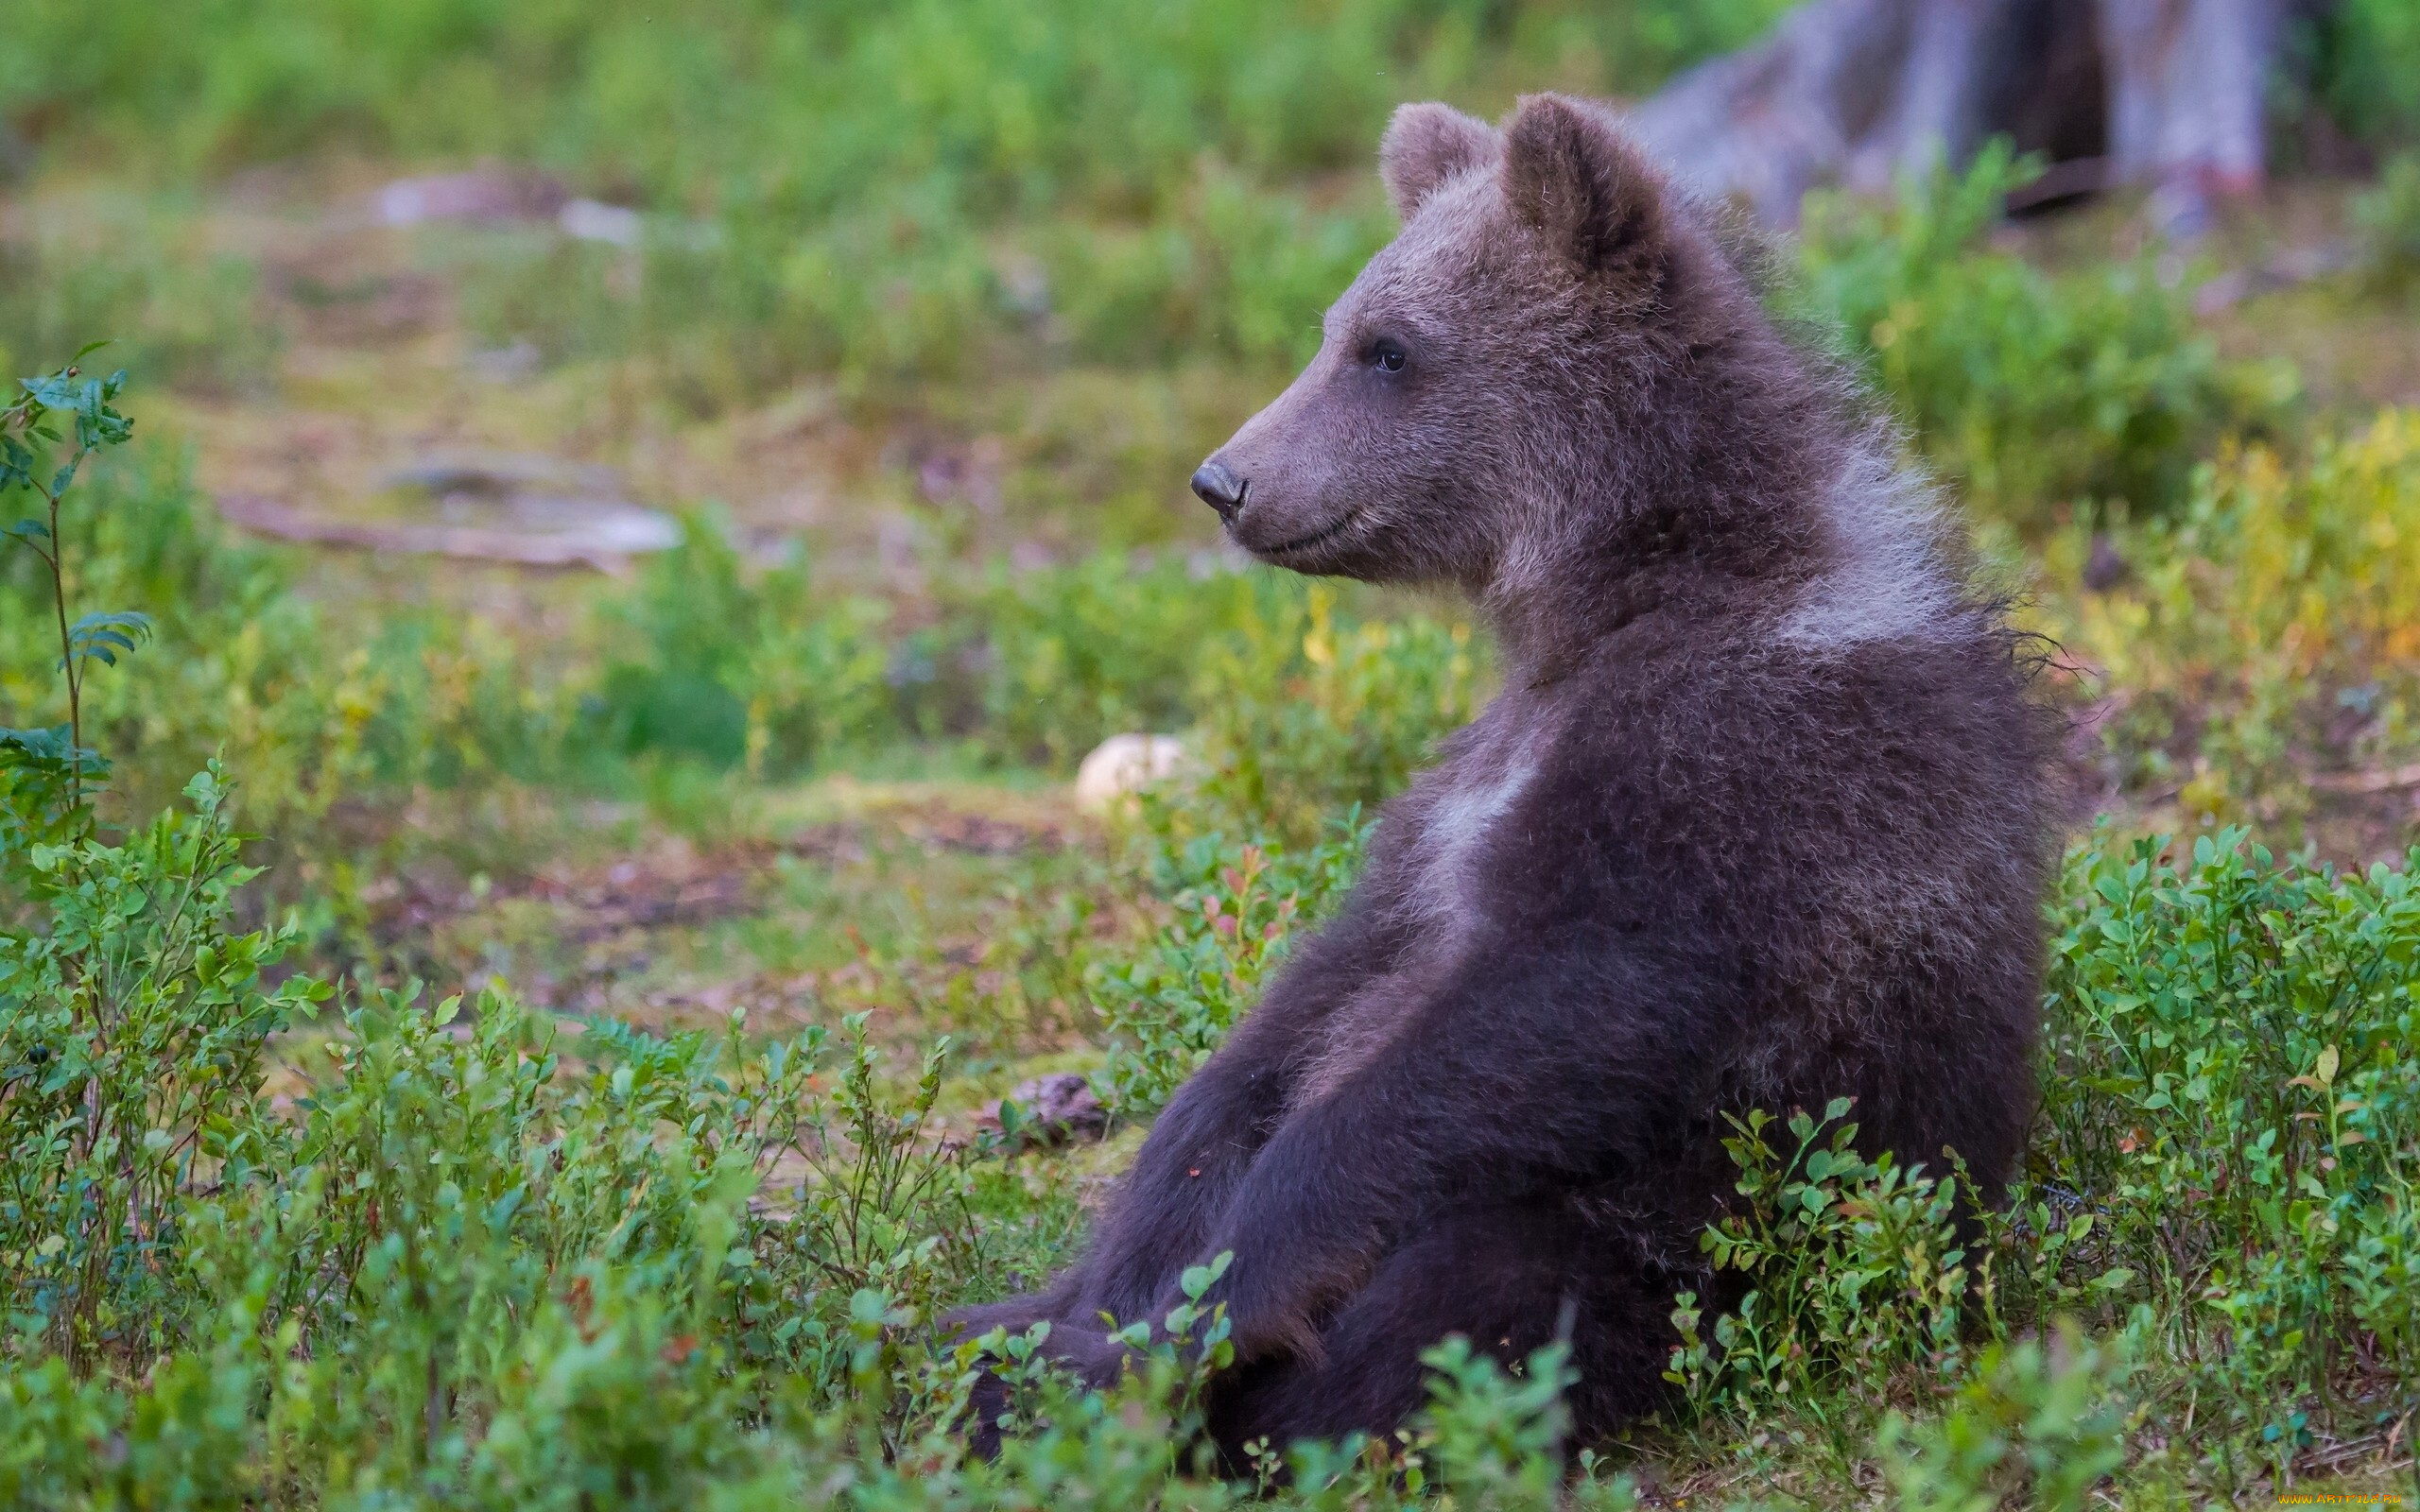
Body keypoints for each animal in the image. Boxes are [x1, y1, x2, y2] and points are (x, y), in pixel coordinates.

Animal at [953, 91, 2051, 1452]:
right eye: (1334, 326)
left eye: (1388, 349)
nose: (1226, 479)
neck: (1621, 593)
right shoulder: (1458, 794)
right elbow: (1300, 1010)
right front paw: (1137, 1274)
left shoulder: (1746, 770)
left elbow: (1558, 1001)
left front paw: (1208, 1310)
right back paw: (976, 1343)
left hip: (1690, 1234)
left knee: (1458, 1306)